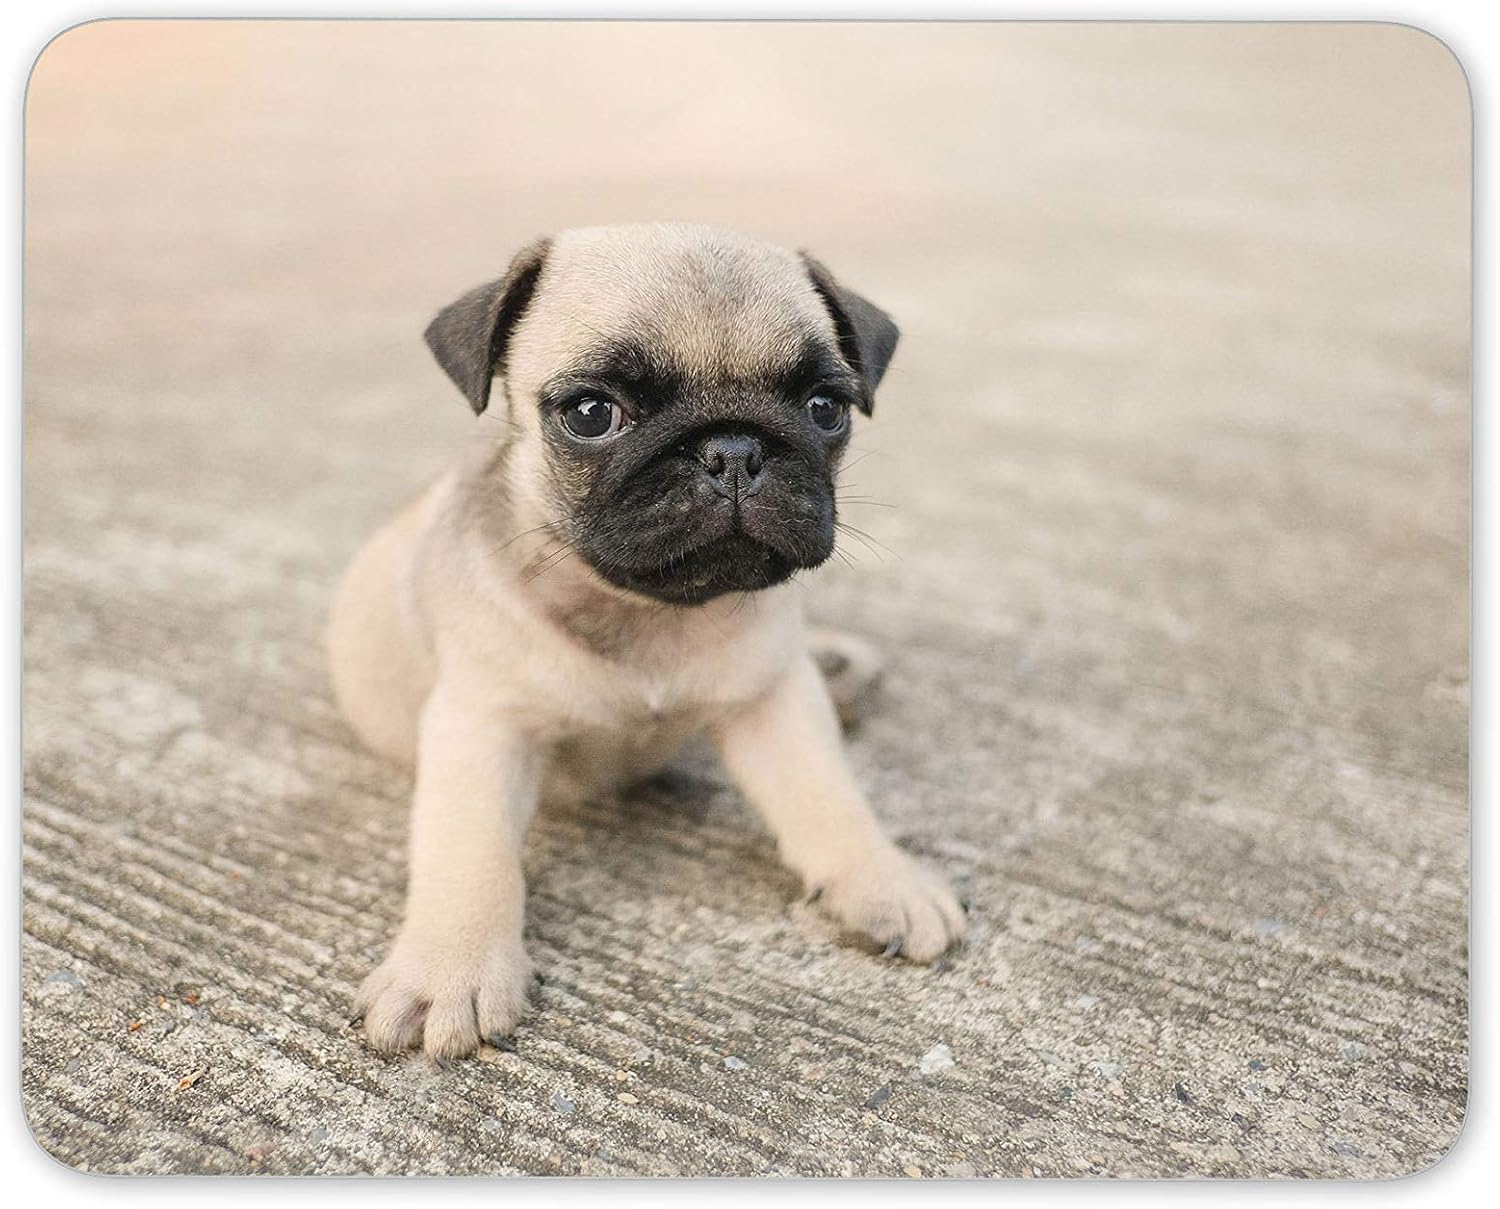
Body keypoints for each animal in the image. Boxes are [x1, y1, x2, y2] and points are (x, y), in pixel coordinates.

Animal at [327, 223, 965, 1058]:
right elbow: (471, 849)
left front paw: (882, 877)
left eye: (826, 408)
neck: (649, 610)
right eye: (592, 413)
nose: (733, 450)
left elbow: (826, 795)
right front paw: (451, 968)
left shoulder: (772, 699)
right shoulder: (482, 725)